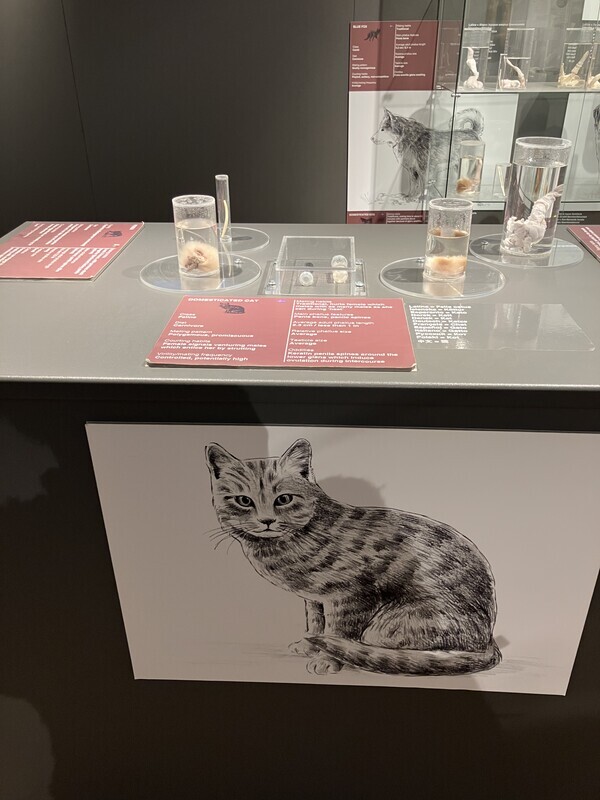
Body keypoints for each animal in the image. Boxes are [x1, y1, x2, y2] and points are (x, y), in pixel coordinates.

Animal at [206, 438, 500, 677]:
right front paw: (308, 643)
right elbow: (315, 623)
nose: (266, 520)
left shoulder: (351, 596)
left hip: (385, 625)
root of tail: (487, 637)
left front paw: (327, 659)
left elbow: (337, 631)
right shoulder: (315, 599)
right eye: (244, 501)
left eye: (284, 499)